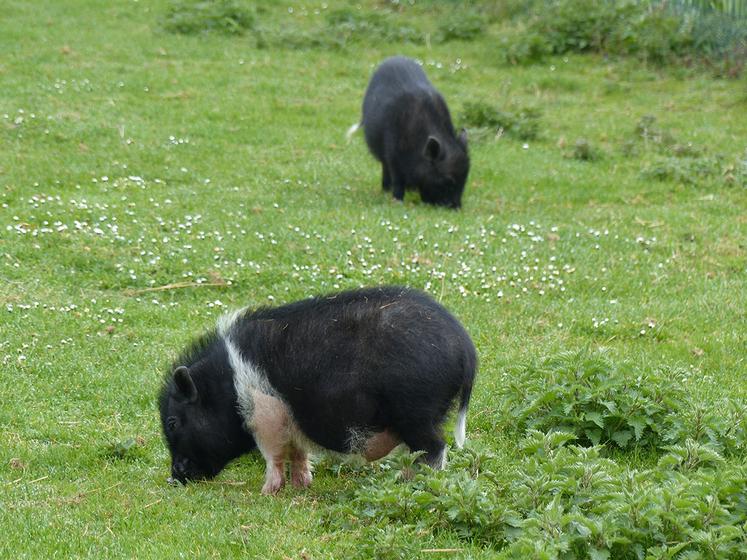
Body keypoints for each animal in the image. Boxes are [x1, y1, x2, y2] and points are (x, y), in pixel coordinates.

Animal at [158, 286, 480, 492]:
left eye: (173, 422)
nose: (174, 477)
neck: (229, 386)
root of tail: (465, 348)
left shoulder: (265, 414)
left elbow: (274, 454)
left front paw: (268, 491)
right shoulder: (290, 421)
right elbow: (297, 451)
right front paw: (302, 485)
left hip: (416, 411)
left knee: (435, 448)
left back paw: (410, 484)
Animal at [350, 55, 468, 209]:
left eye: (465, 178)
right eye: (447, 180)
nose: (456, 208)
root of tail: (395, 57)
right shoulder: (393, 156)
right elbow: (397, 181)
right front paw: (397, 201)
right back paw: (385, 191)